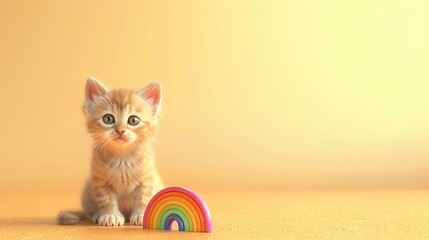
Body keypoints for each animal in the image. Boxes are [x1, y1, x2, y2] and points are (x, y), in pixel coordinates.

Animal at [57, 77, 163, 227]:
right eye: (108, 119)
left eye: (133, 120)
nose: (120, 130)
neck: (122, 157)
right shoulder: (100, 181)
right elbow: (106, 199)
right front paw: (110, 215)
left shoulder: (147, 179)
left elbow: (144, 197)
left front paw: (141, 215)